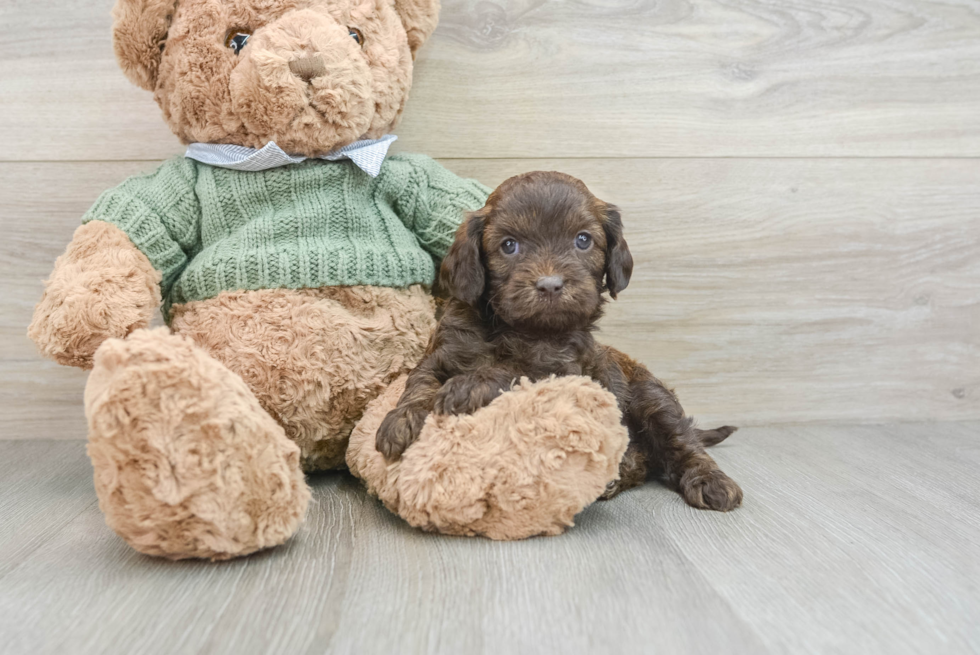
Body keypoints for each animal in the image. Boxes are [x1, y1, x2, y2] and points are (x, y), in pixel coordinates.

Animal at [378, 172, 744, 510]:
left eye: (583, 240)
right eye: (508, 245)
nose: (550, 285)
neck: (516, 328)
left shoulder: (562, 370)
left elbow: (514, 370)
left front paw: (467, 386)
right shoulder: (441, 354)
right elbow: (420, 383)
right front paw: (401, 420)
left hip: (652, 396)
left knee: (683, 441)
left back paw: (711, 481)